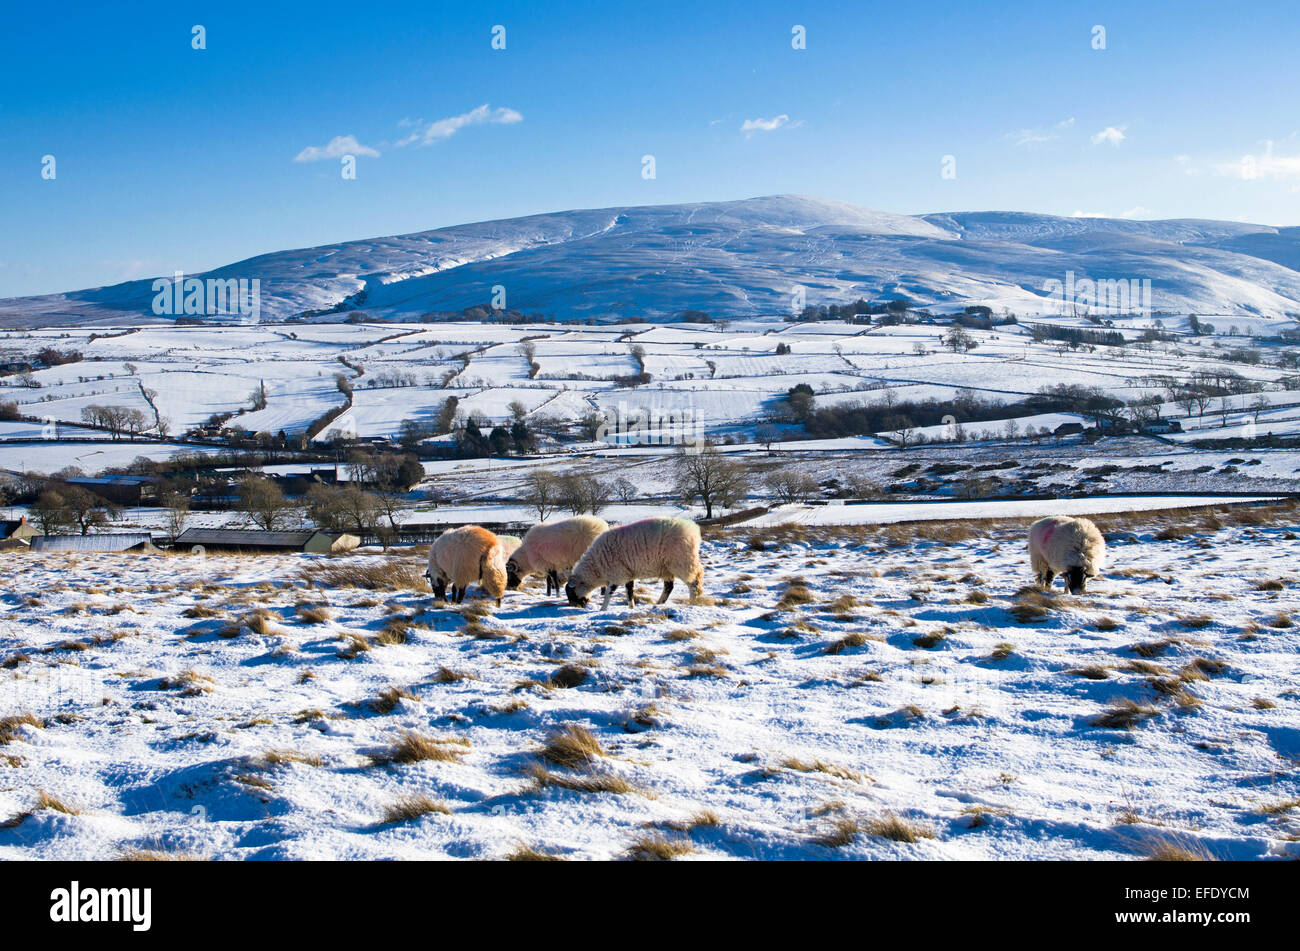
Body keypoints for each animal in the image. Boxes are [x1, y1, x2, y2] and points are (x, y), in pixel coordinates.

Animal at [565, 516, 703, 610]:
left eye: (571, 593)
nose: (577, 607)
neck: (596, 567)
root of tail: (693, 530)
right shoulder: (627, 573)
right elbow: (629, 591)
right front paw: (631, 607)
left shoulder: (617, 574)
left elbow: (609, 592)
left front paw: (603, 609)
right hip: (667, 568)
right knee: (669, 586)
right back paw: (659, 603)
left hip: (681, 563)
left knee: (693, 583)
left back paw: (692, 602)